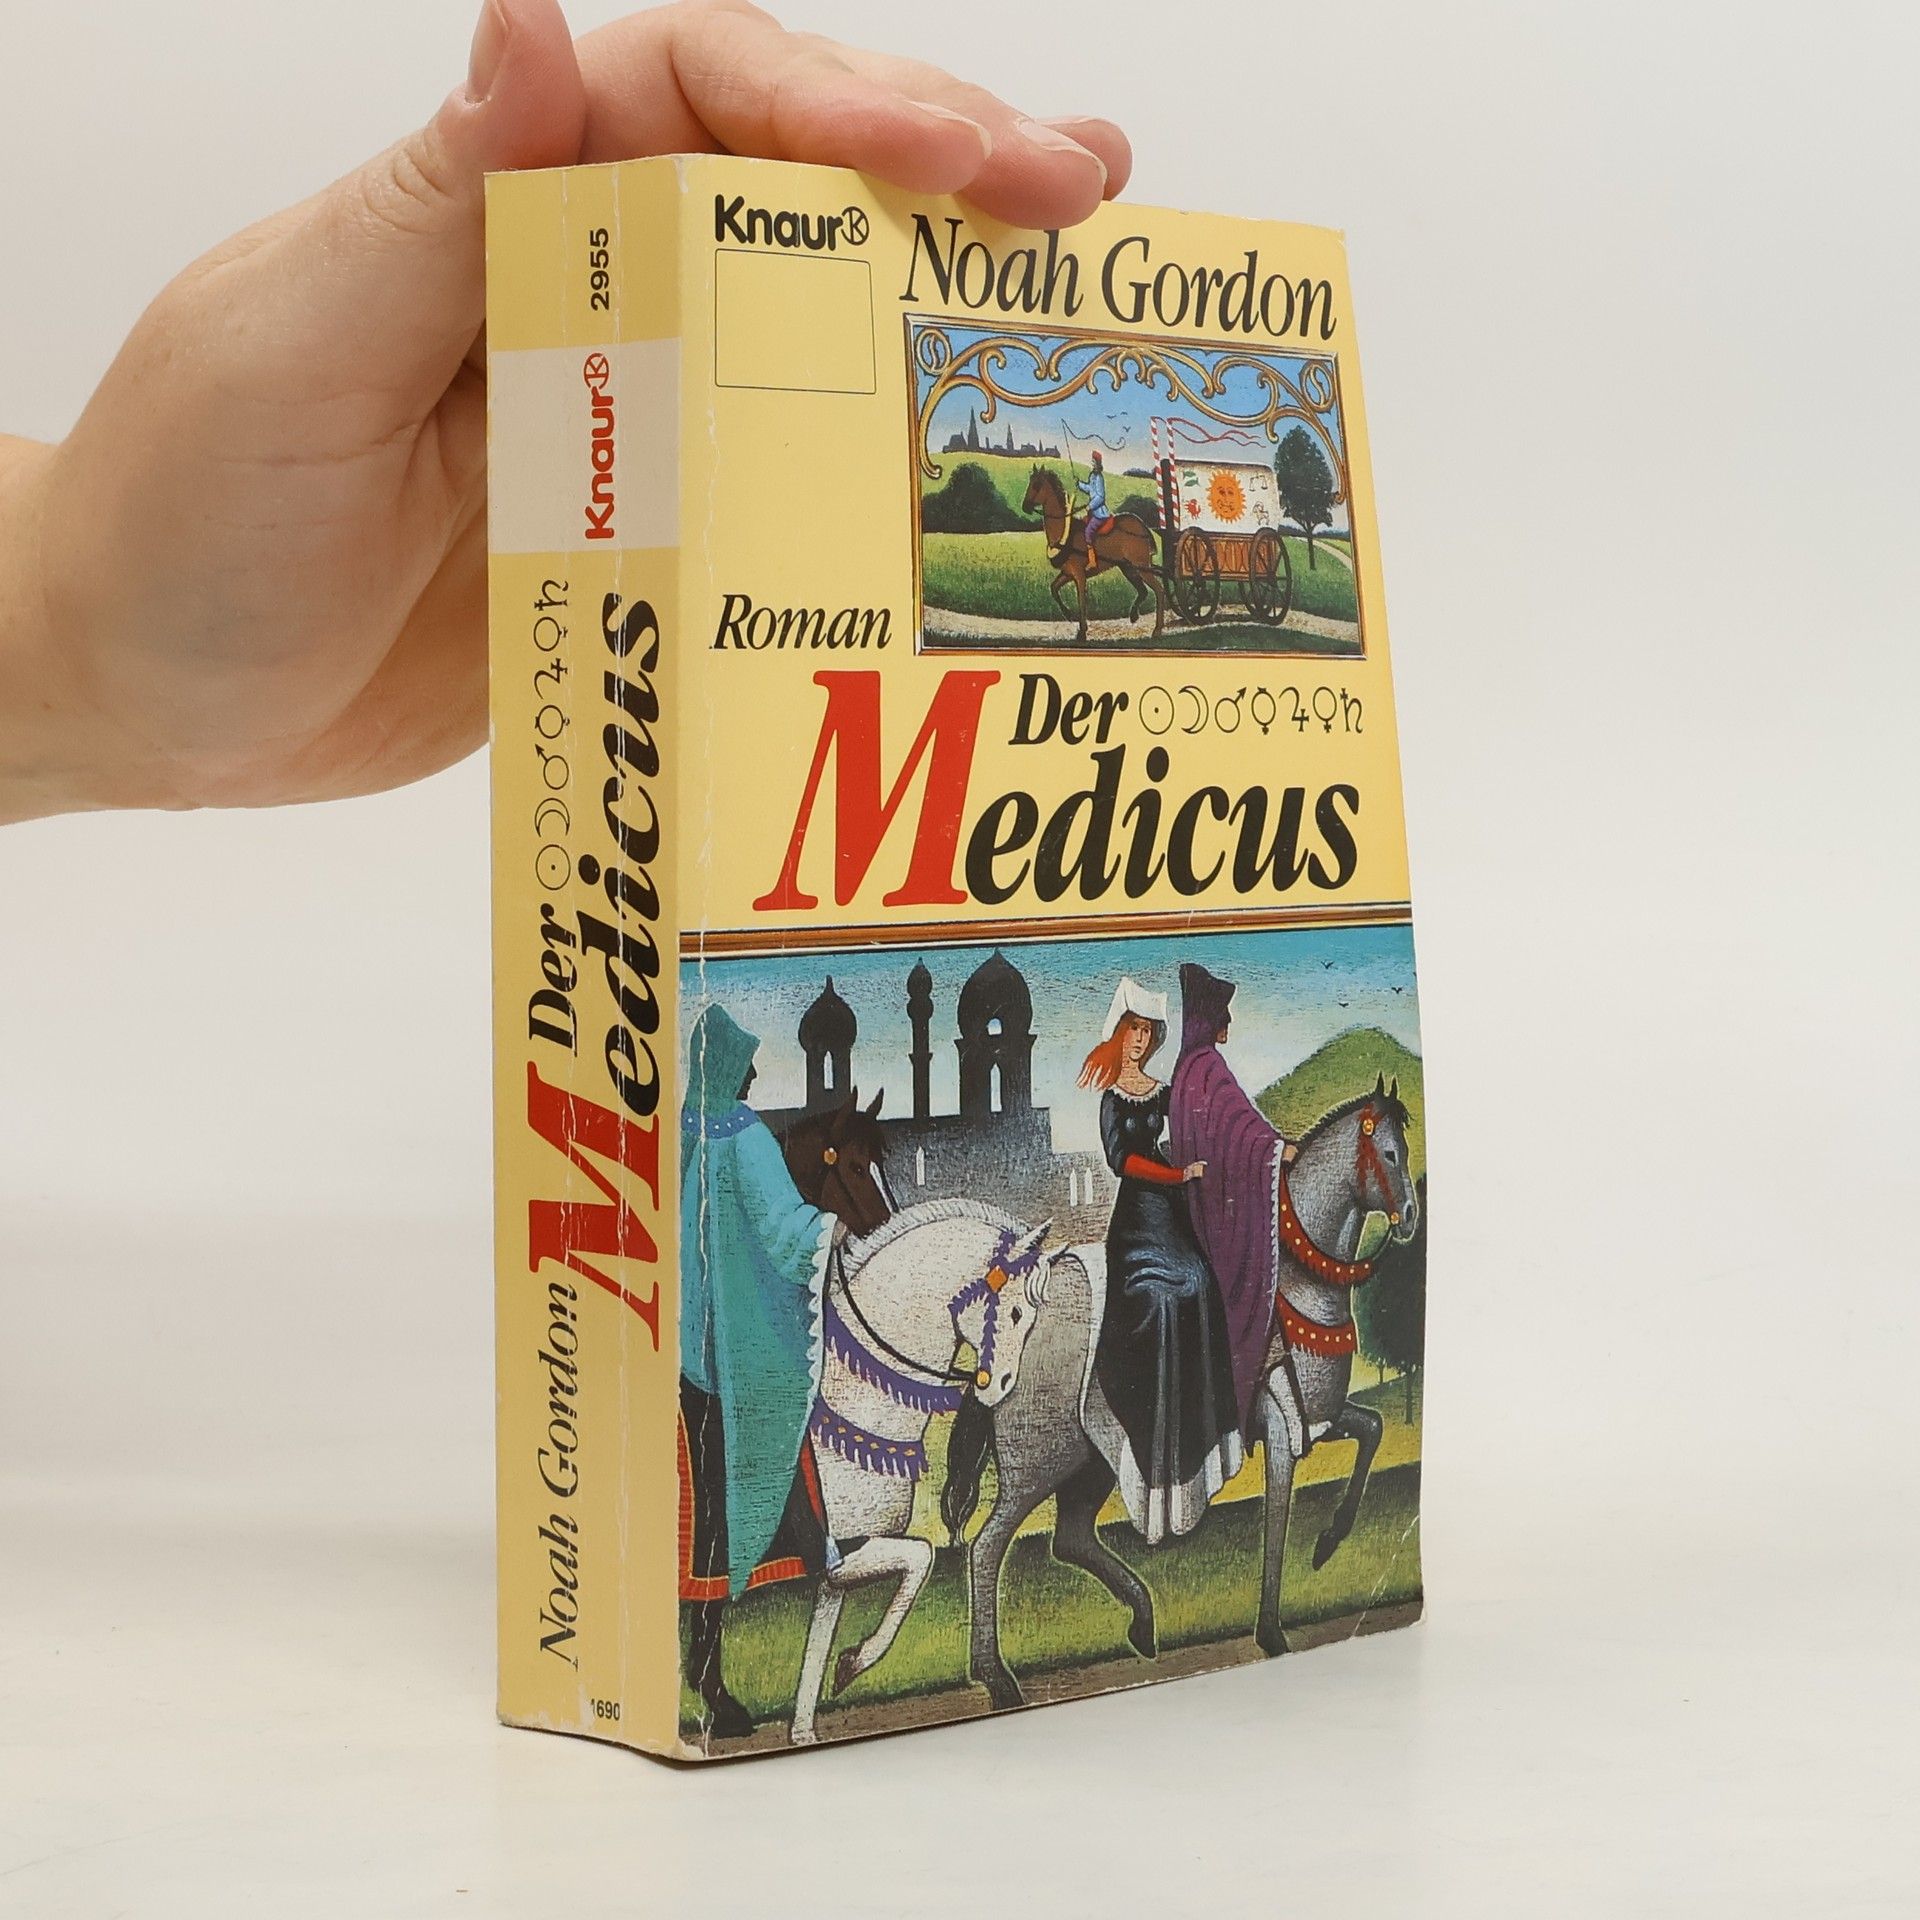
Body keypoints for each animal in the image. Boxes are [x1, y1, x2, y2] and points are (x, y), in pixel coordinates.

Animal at [786, 1198, 1053, 1744]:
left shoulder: (835, 1571)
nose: (1001, 1386)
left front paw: (809, 1723)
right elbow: (923, 1556)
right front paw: (855, 1662)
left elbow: (815, 1655)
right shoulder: (845, 1549)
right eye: (1015, 1311)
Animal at [945, 1076, 1420, 1709]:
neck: (1297, 1282)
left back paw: (1145, 1626)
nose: (1410, 1216)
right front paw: (1271, 1632)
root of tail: (1001, 1343)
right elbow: (1277, 1520)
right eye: (1388, 1153)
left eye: (1405, 1150)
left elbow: (1373, 1430)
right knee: (987, 1546)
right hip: (1038, 1461)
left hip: (1092, 1460)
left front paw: (1328, 1542)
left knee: (1069, 1539)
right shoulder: (1279, 1426)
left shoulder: (1320, 1414)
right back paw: (997, 1678)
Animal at [1021, 466, 1166, 642]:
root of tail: (1142, 526)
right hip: (1128, 568)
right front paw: (1068, 614)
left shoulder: (1079, 574)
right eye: (1030, 482)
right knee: (1143, 591)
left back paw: (1157, 629)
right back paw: (1134, 615)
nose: (1025, 506)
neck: (1066, 532)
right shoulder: (1067, 573)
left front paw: (1082, 632)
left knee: (1159, 590)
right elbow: (1054, 588)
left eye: (1037, 485)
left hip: (1142, 567)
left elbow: (1082, 600)